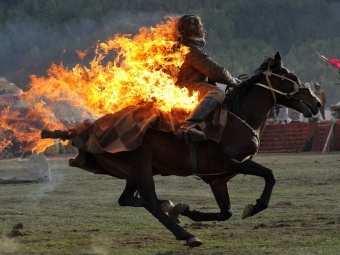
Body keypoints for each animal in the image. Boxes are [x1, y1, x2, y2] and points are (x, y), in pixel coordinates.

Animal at [41, 52, 320, 247]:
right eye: (292, 78)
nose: (316, 103)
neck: (238, 117)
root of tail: (86, 130)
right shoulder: (230, 164)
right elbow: (269, 175)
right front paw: (255, 206)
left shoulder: (217, 179)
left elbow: (226, 212)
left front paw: (187, 210)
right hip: (141, 169)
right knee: (150, 203)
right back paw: (186, 235)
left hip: (134, 172)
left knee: (129, 199)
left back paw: (171, 207)